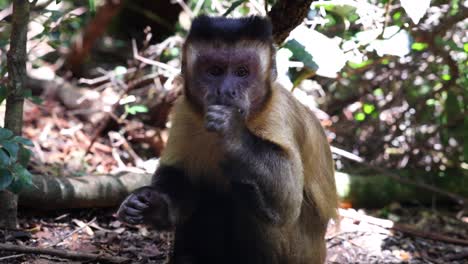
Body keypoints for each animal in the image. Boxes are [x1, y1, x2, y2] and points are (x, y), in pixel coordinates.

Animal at [116, 14, 336, 264]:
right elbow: (178, 176)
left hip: (299, 254)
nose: (227, 91)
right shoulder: (183, 110)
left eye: (242, 72)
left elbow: (287, 206)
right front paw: (151, 205)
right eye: (215, 71)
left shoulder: (279, 113)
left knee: (246, 192)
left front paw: (233, 131)